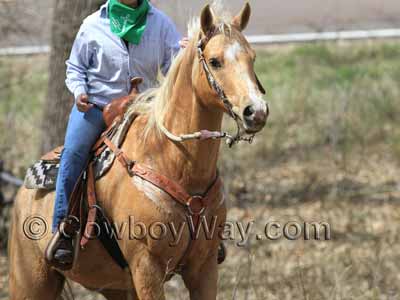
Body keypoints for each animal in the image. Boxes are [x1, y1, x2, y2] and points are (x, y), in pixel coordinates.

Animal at [7, 2, 268, 300]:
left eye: (252, 58)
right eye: (215, 61)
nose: (256, 112)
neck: (172, 161)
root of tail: (23, 193)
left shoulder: (205, 268)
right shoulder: (147, 267)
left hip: (116, 287)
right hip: (30, 282)